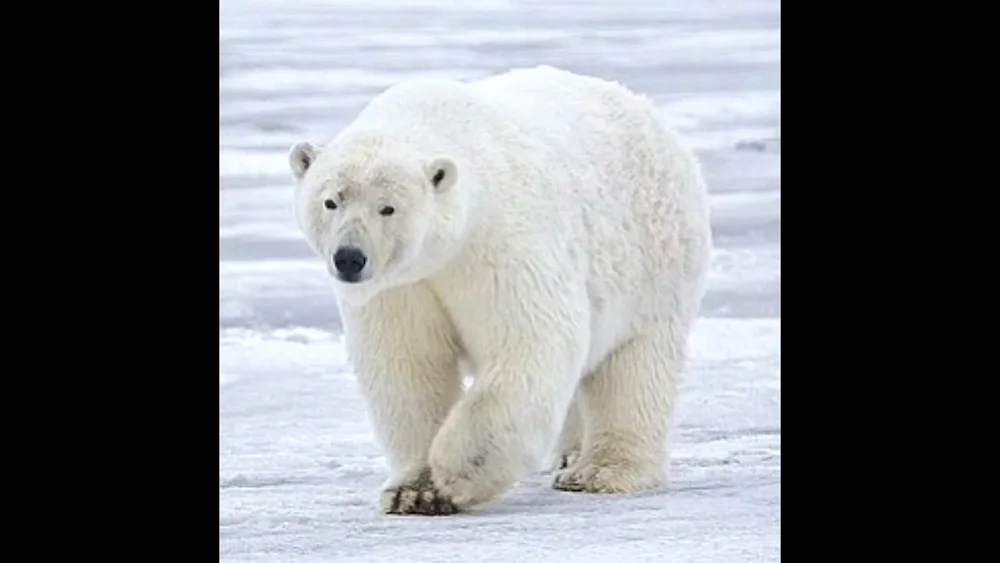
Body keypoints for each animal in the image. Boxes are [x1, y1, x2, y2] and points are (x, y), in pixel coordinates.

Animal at [290, 65, 712, 516]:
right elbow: (408, 365)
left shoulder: (498, 243)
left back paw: (601, 471)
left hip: (654, 261)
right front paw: (413, 491)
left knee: (634, 367)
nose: (349, 258)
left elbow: (529, 342)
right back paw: (569, 454)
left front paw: (456, 472)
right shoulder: (400, 287)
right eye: (331, 201)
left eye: (388, 207)